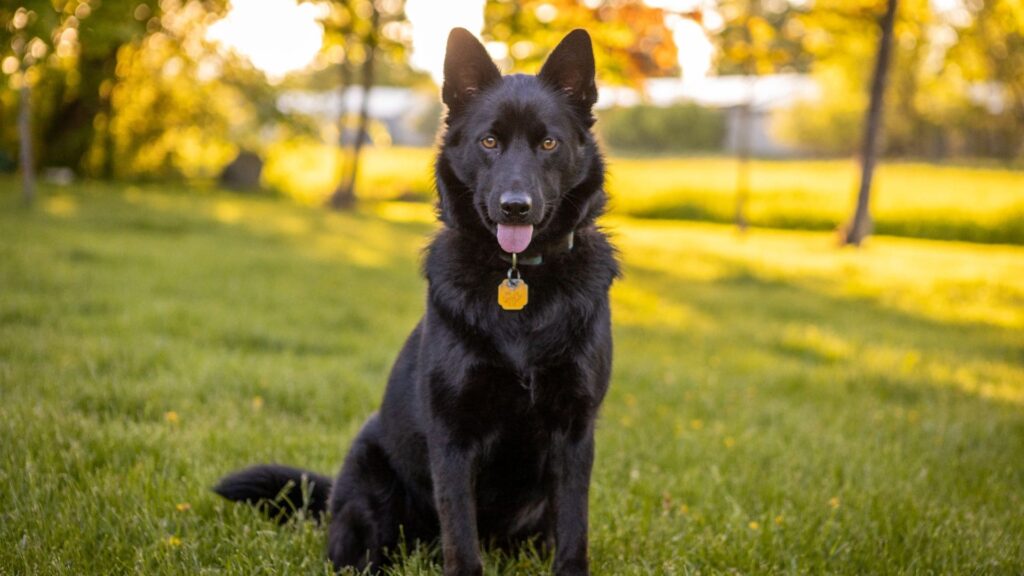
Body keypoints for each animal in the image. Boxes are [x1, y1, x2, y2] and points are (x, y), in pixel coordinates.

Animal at [215, 28, 614, 573]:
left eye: (549, 142)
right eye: (489, 141)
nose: (515, 207)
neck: (518, 277)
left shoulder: (575, 430)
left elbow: (575, 532)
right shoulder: (453, 436)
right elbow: (461, 538)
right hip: (369, 484)